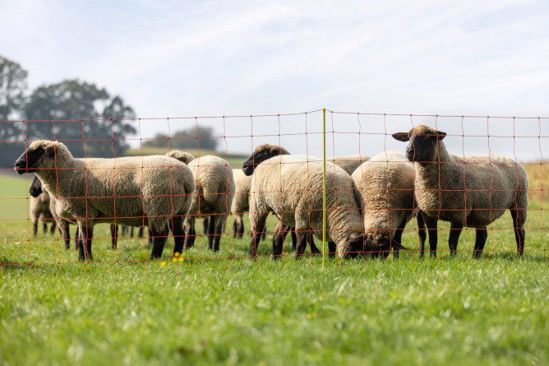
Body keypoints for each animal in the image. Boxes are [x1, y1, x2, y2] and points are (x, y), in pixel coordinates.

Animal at [13, 140, 195, 260]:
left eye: (37, 151)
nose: (17, 164)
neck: (66, 173)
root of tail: (185, 178)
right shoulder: (83, 214)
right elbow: (81, 239)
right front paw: (81, 259)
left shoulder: (84, 212)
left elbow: (86, 239)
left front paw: (88, 259)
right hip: (179, 209)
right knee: (179, 233)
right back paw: (176, 257)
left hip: (157, 204)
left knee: (160, 234)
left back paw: (154, 258)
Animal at [244, 144, 382, 258]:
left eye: (261, 153)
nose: (244, 167)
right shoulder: (302, 214)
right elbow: (301, 241)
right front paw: (299, 258)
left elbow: (329, 243)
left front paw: (328, 258)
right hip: (258, 205)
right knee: (256, 233)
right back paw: (252, 257)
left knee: (272, 235)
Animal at [392, 126, 528, 258]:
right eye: (409, 136)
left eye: (428, 136)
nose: (409, 151)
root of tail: (513, 161)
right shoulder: (428, 213)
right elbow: (433, 240)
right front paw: (432, 258)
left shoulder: (459, 214)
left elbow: (452, 241)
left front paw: (453, 258)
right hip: (481, 210)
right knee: (482, 235)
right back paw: (475, 257)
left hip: (519, 202)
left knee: (519, 231)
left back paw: (519, 256)